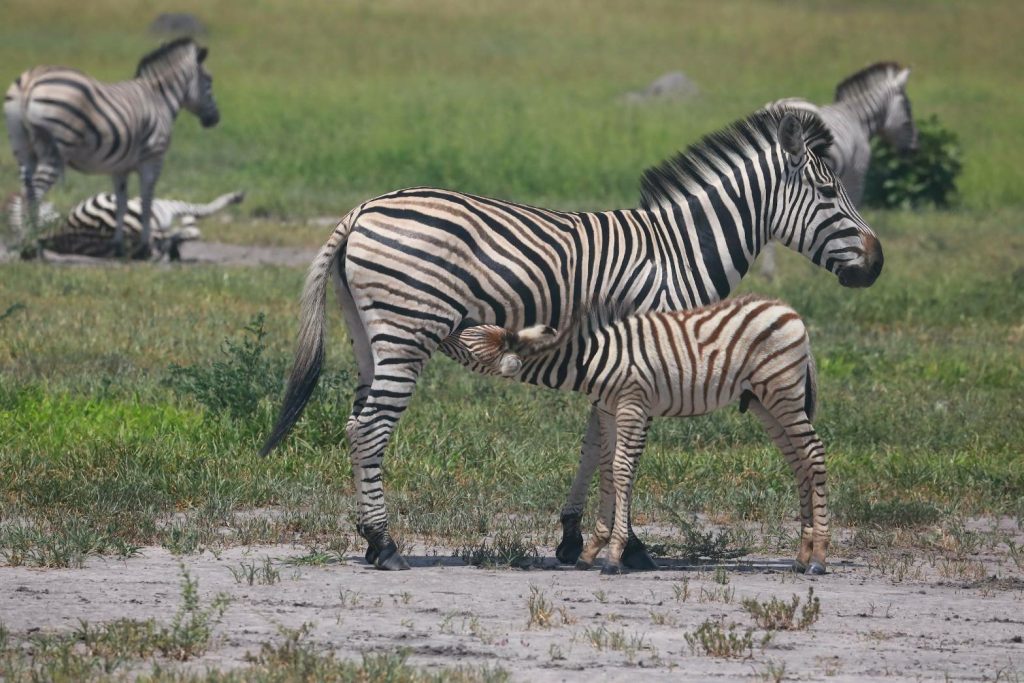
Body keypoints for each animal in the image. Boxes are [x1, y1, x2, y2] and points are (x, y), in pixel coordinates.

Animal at [3, 38, 219, 258]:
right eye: (209, 81)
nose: (215, 119)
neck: (159, 99)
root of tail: (29, 81)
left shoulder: (120, 167)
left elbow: (122, 203)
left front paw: (119, 246)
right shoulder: (153, 158)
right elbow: (146, 200)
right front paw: (144, 247)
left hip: (22, 148)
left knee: (26, 189)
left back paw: (24, 244)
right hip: (53, 148)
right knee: (36, 192)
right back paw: (32, 246)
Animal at [451, 293, 827, 575]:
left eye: (468, 345)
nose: (449, 328)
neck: (589, 359)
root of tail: (788, 310)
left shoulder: (631, 404)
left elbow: (621, 470)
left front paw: (613, 556)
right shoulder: (607, 410)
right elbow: (606, 471)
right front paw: (592, 551)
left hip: (782, 392)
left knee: (814, 454)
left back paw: (820, 559)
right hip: (765, 401)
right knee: (798, 463)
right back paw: (802, 555)